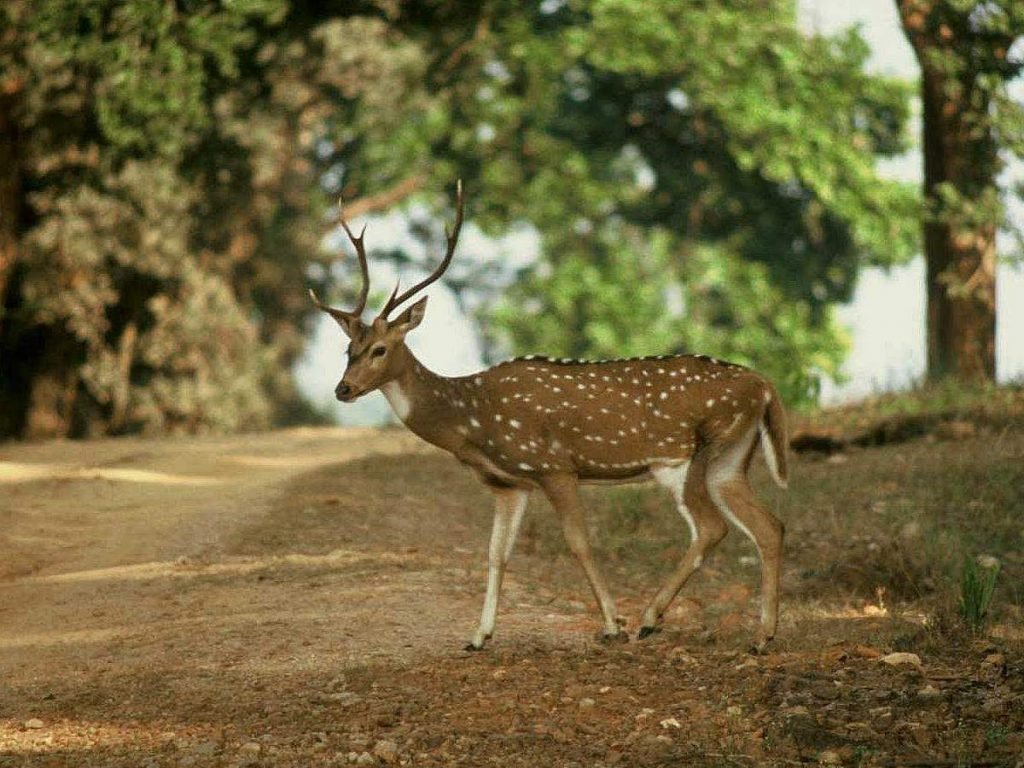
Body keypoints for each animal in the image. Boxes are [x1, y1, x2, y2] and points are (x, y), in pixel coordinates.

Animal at [311, 182, 790, 655]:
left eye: (380, 349)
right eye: (348, 349)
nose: (343, 389)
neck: (471, 419)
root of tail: (765, 386)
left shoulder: (554, 465)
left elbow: (578, 543)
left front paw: (611, 626)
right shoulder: (510, 484)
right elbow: (495, 552)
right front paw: (478, 636)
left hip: (682, 455)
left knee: (712, 528)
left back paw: (650, 621)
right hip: (730, 458)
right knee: (769, 525)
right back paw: (761, 636)